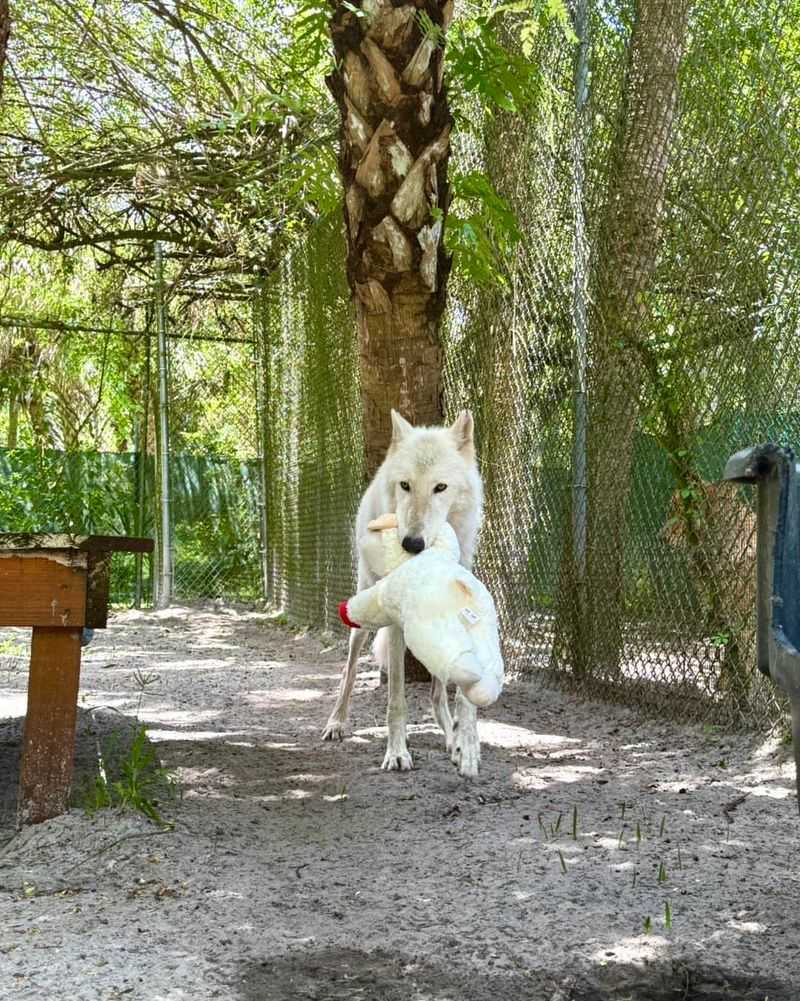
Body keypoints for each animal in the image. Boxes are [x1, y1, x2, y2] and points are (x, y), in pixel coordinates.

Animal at [322, 409, 485, 776]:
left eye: (440, 487)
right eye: (405, 485)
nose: (412, 543)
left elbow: (463, 698)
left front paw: (466, 745)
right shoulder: (395, 628)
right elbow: (396, 697)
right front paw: (397, 752)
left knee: (438, 695)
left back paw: (449, 735)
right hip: (362, 614)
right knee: (348, 671)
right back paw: (336, 723)